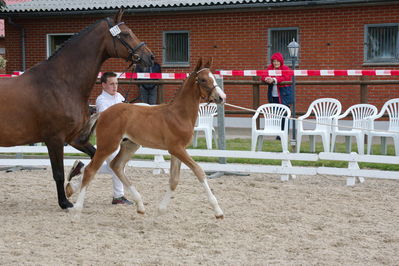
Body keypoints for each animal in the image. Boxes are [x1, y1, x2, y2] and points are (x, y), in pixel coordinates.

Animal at [0, 9, 155, 210]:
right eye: (126, 34)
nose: (149, 57)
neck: (62, 82)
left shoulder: (74, 137)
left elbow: (96, 160)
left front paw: (73, 183)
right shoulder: (55, 139)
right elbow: (58, 173)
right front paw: (65, 202)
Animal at [68, 57, 225, 218]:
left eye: (213, 77)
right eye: (203, 80)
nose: (221, 97)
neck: (179, 114)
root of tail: (102, 113)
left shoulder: (177, 151)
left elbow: (174, 180)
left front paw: (160, 210)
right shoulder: (176, 149)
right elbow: (199, 171)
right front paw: (218, 210)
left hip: (130, 145)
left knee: (116, 166)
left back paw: (140, 205)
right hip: (107, 145)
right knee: (90, 170)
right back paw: (77, 209)